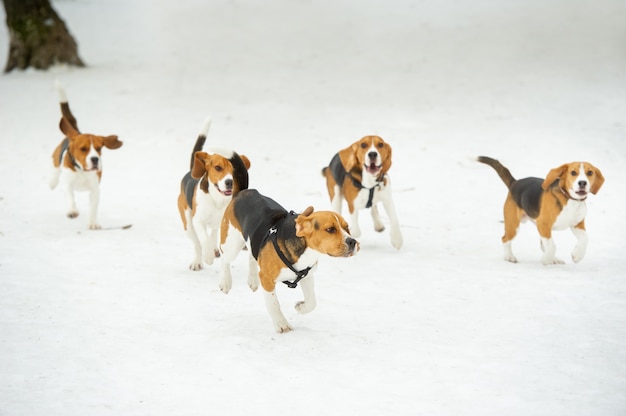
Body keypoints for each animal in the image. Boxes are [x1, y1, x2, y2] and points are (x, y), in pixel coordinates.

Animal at [49, 82, 122, 229]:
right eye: (83, 149)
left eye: (99, 148)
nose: (95, 159)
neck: (82, 170)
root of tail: (75, 132)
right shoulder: (67, 184)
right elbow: (70, 198)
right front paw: (72, 211)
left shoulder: (95, 190)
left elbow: (93, 208)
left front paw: (93, 223)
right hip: (56, 156)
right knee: (55, 167)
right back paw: (52, 182)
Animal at [176, 119, 249, 270]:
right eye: (218, 168)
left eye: (235, 170)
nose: (229, 182)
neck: (218, 200)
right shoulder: (198, 220)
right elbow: (204, 239)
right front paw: (208, 255)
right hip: (188, 224)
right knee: (197, 243)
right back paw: (198, 260)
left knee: (214, 232)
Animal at [219, 190, 358, 334]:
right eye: (330, 229)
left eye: (347, 227)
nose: (353, 242)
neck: (307, 252)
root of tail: (246, 192)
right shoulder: (267, 279)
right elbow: (274, 305)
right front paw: (282, 324)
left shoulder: (307, 276)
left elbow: (312, 302)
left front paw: (300, 307)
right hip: (231, 244)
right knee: (224, 259)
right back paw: (225, 282)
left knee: (252, 256)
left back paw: (252, 280)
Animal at [476, 156, 604, 264]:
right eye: (573, 172)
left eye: (590, 173)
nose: (582, 182)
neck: (569, 199)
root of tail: (515, 182)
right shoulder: (543, 224)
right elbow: (552, 246)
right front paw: (546, 260)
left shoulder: (577, 224)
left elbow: (585, 239)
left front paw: (577, 256)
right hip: (513, 225)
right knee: (505, 239)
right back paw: (509, 256)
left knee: (543, 245)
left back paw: (554, 258)